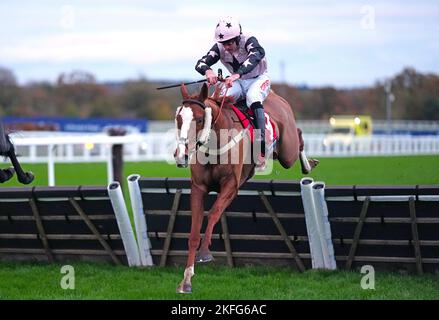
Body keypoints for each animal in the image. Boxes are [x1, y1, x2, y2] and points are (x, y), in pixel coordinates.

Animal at [174, 82, 318, 292]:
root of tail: (274, 95)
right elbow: (193, 233)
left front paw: (205, 253)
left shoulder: (231, 185)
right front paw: (186, 280)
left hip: (287, 152)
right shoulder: (198, 187)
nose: (181, 155)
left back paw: (309, 164)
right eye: (178, 118)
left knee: (298, 137)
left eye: (200, 119)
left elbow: (214, 212)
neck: (215, 144)